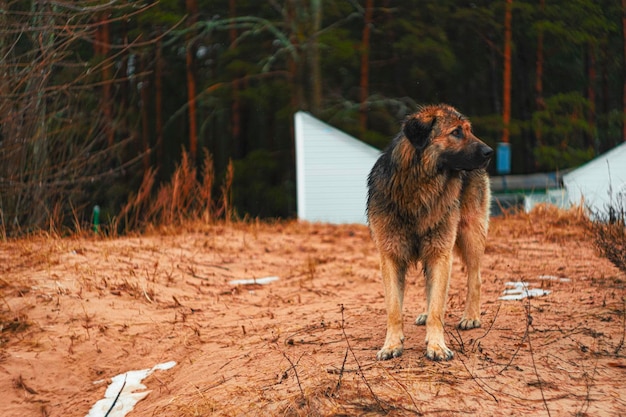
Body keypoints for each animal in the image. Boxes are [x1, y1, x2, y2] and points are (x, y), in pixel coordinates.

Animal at [366, 104, 492, 360]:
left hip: (470, 235)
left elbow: (438, 308)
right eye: (456, 132)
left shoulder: (440, 253)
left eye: (469, 130)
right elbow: (394, 309)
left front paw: (436, 346)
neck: (418, 188)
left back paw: (471, 317)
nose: (490, 152)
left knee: (475, 279)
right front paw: (391, 345)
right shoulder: (391, 256)